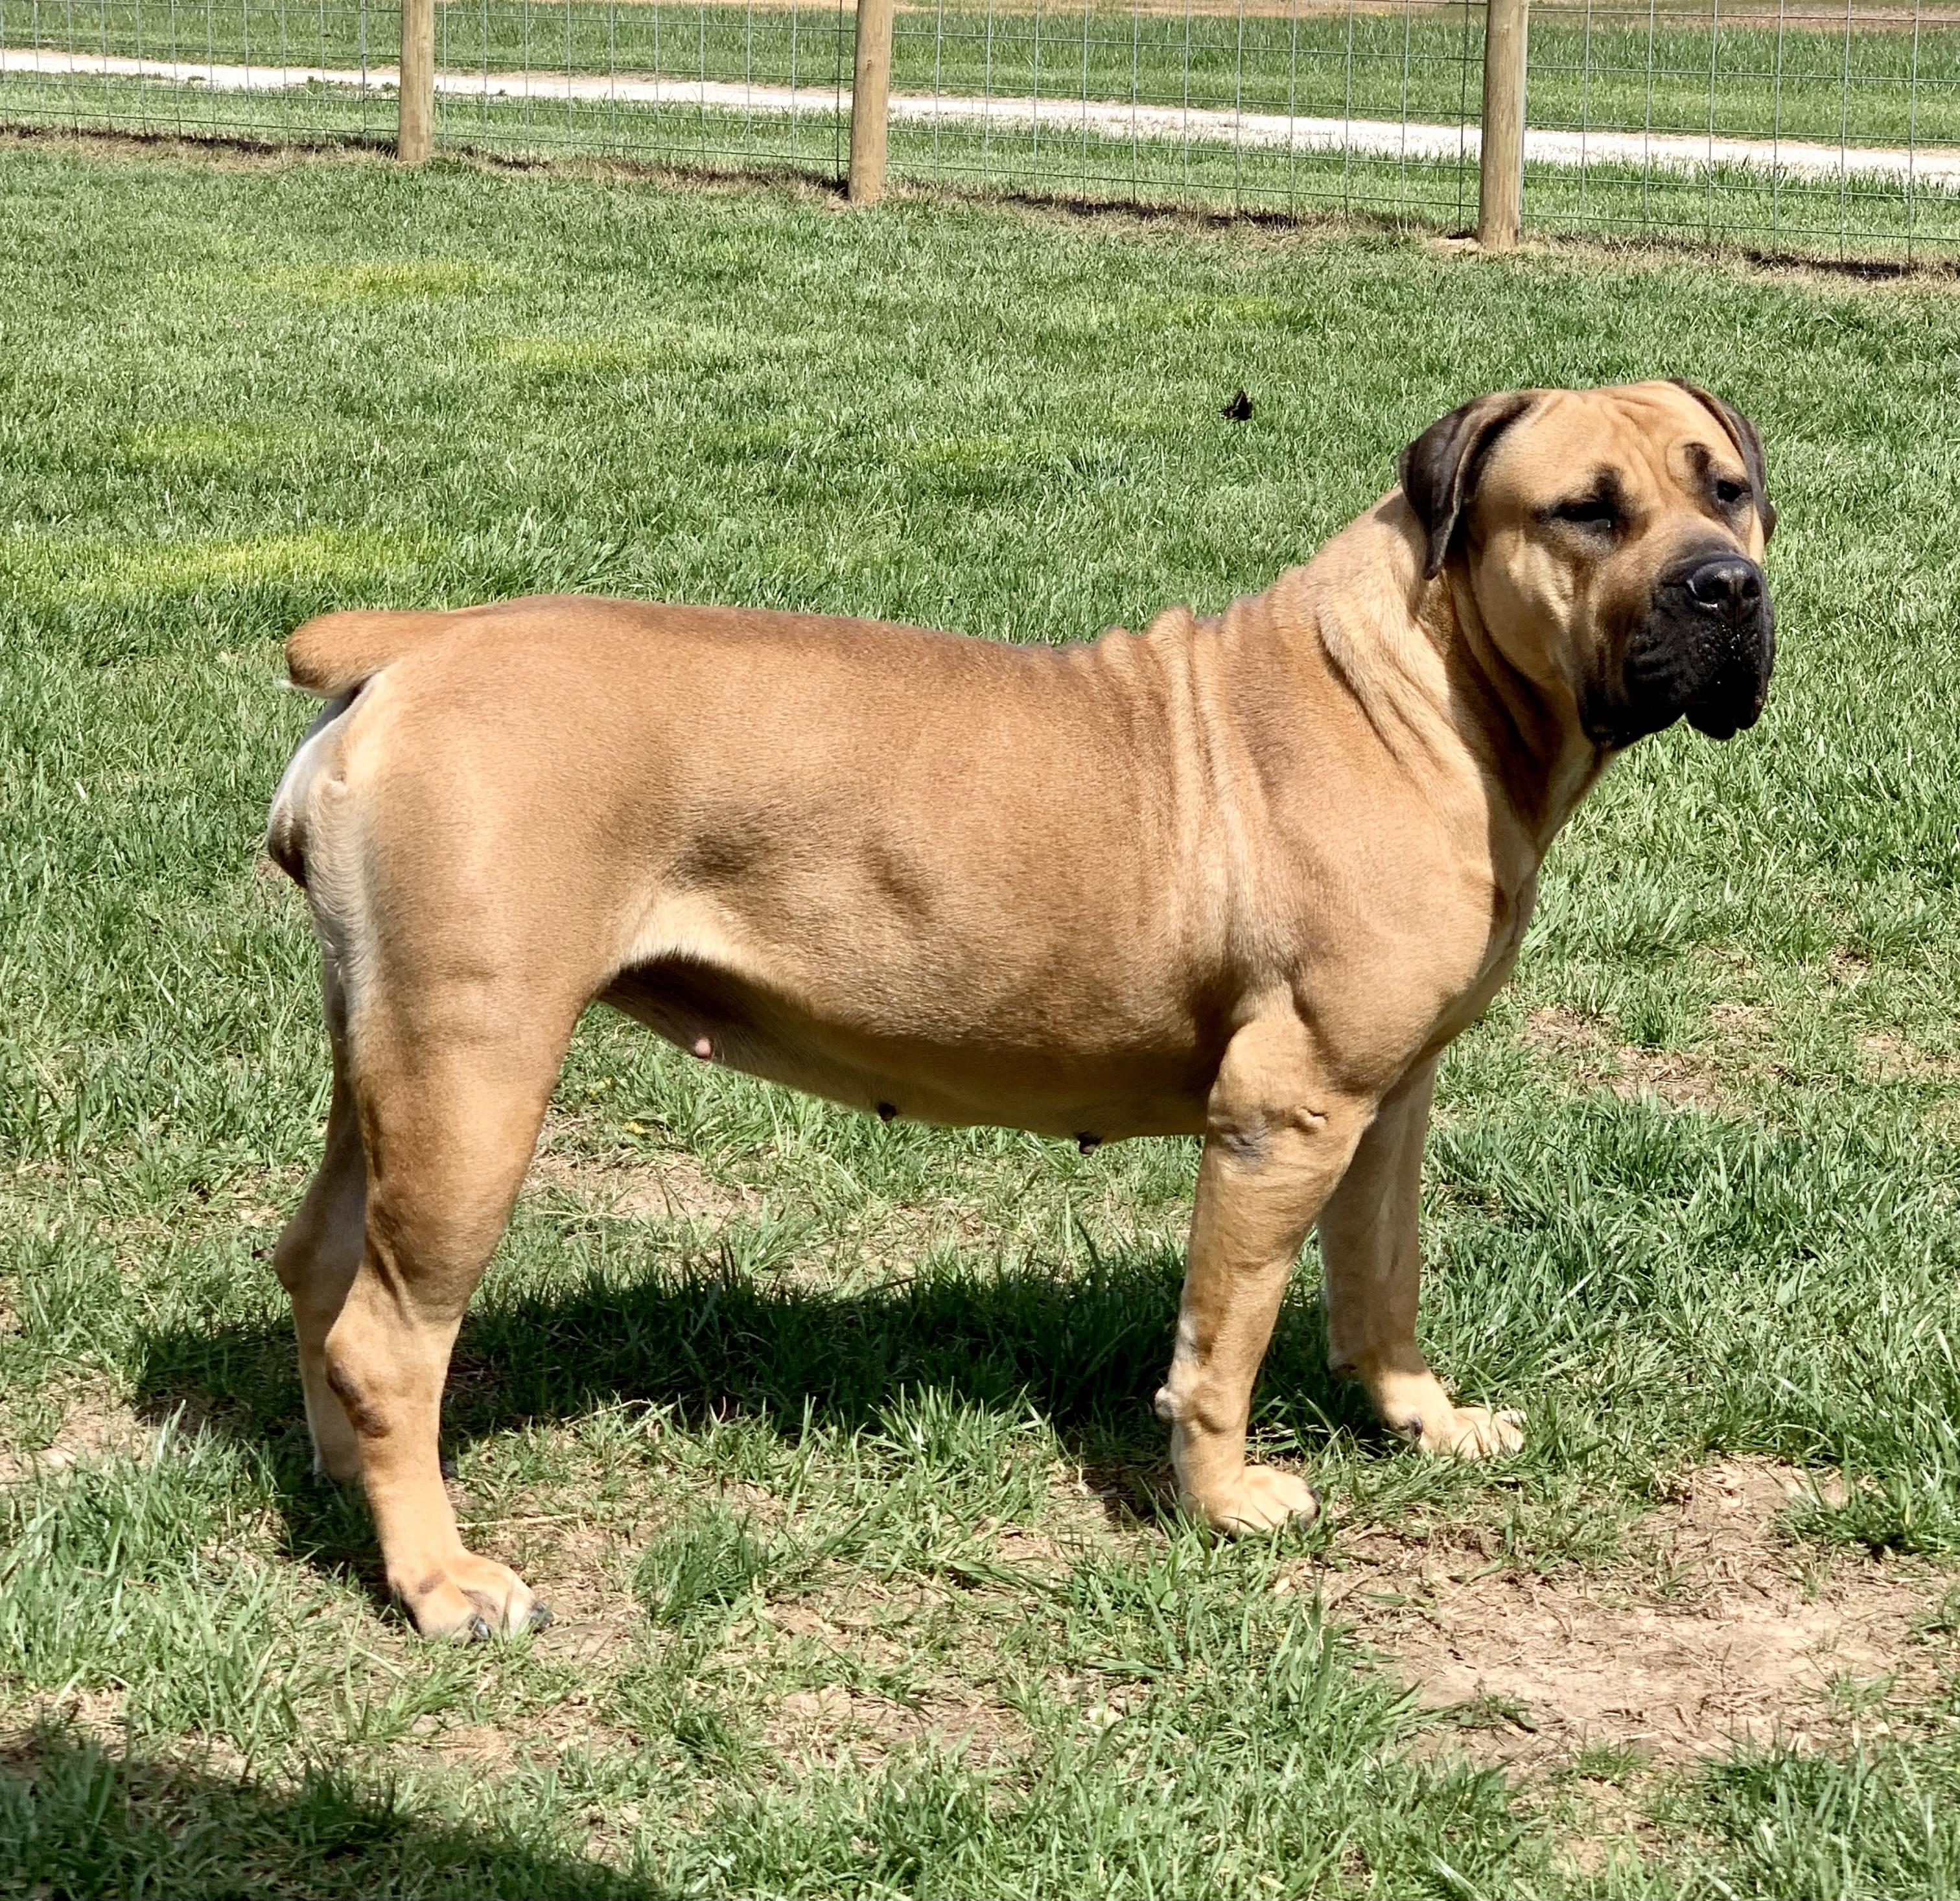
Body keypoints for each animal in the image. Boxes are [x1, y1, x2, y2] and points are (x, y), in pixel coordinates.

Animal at [266, 380, 1774, 1638]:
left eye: (1729, 487)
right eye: (1586, 508)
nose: (1727, 588)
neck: (1427, 683)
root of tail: (419, 645)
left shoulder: (1387, 1096)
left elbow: (1381, 1277)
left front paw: (1424, 1419)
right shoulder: (1283, 1114)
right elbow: (1224, 1336)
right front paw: (1225, 1500)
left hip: (389, 1061)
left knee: (320, 1266)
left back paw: (345, 1487)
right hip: (478, 1075)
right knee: (390, 1338)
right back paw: (441, 1576)